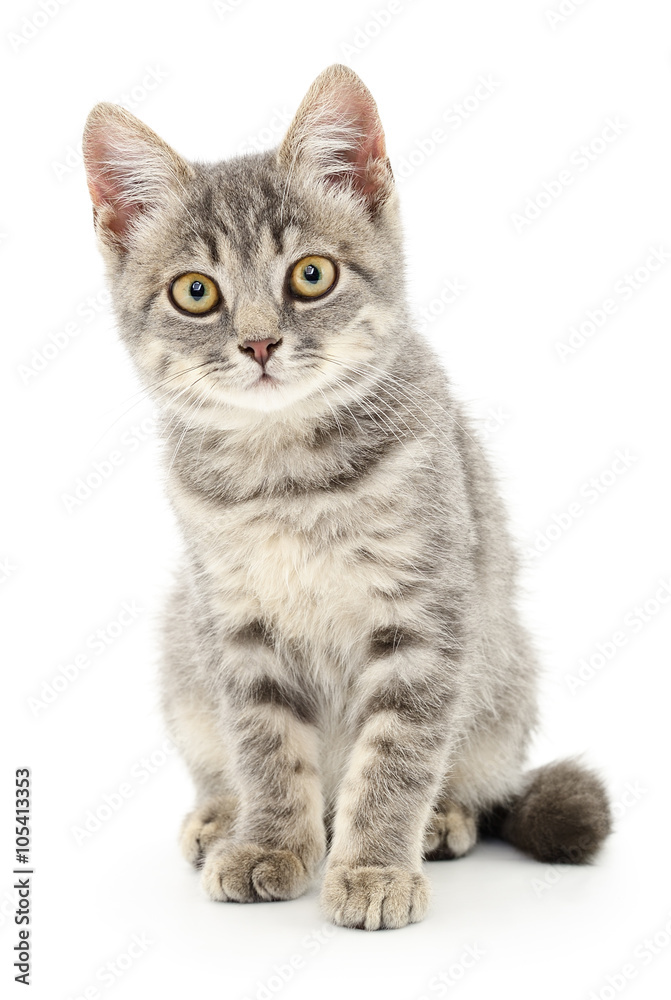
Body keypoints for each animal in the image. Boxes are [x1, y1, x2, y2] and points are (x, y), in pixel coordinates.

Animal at [81, 66, 612, 932]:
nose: (259, 342)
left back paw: (441, 821)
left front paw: (372, 867)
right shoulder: (235, 625)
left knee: (476, 778)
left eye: (310, 275)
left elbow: (395, 757)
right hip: (181, 654)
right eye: (195, 292)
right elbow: (265, 747)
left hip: (503, 676)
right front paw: (268, 843)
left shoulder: (423, 618)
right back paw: (220, 817)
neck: (287, 476)